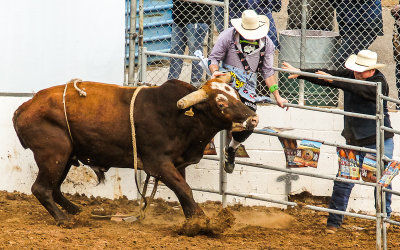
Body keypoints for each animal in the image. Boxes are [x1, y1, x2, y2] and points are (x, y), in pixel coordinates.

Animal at [12, 77, 258, 223]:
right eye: (221, 103)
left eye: (236, 95)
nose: (253, 118)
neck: (179, 116)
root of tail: (24, 107)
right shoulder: (158, 164)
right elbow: (184, 189)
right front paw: (200, 223)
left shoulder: (178, 163)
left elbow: (184, 191)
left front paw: (193, 218)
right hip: (53, 154)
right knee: (41, 189)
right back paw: (64, 219)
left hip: (65, 156)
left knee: (54, 188)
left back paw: (76, 211)